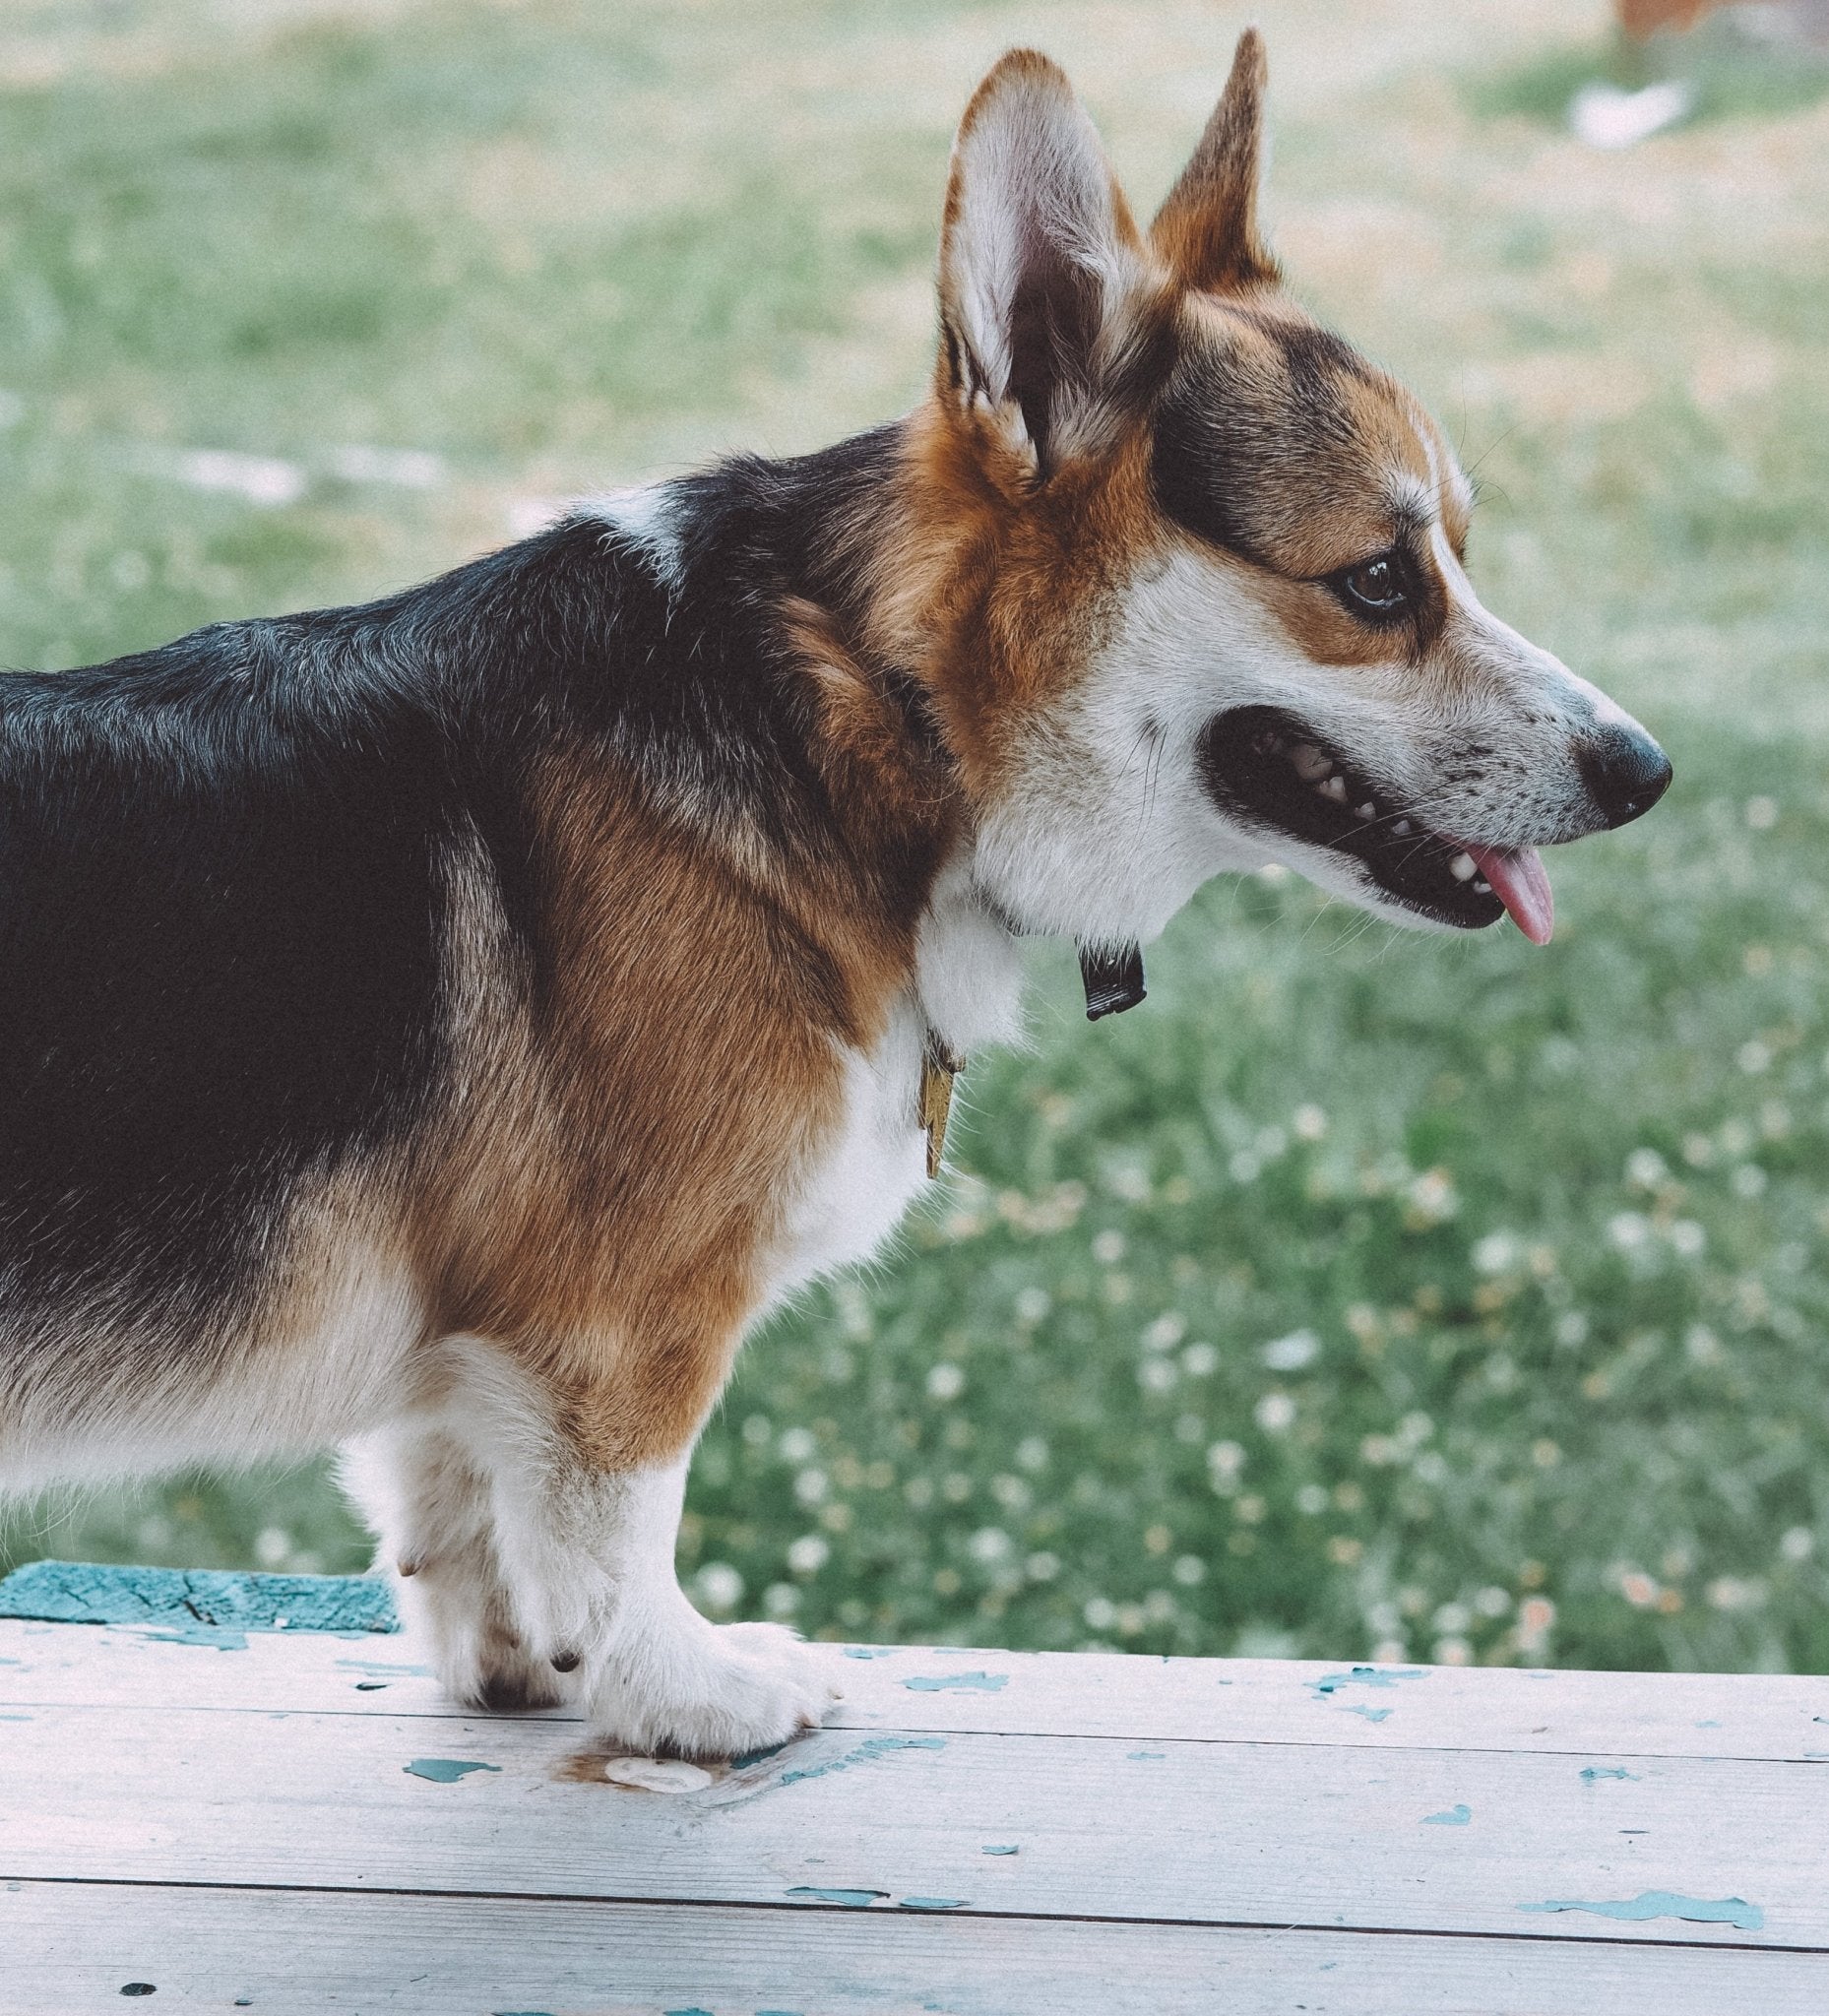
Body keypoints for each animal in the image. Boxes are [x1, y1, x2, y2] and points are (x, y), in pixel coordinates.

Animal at [0, 38, 1670, 1757]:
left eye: (1454, 552)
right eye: (1377, 584)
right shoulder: (625, 1327)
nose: (1646, 771)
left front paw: (516, 1669)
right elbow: (617, 1529)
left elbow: (458, 1510)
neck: (877, 712)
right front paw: (690, 1689)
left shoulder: (478, 1345)